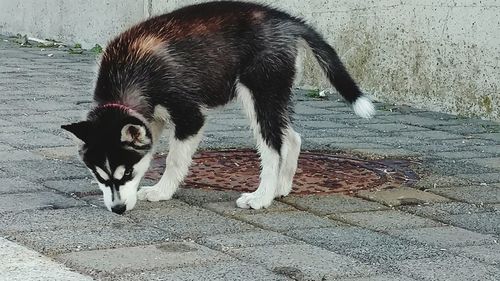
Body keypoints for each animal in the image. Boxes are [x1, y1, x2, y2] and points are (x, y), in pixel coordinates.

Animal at [61, 1, 376, 213]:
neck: (131, 72)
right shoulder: (152, 118)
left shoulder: (189, 116)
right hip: (273, 95)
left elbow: (174, 159)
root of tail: (285, 19)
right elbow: (149, 153)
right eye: (99, 176)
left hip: (258, 92)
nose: (117, 210)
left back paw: (262, 196)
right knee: (293, 137)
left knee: (272, 148)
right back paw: (281, 187)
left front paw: (163, 190)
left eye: (124, 173)